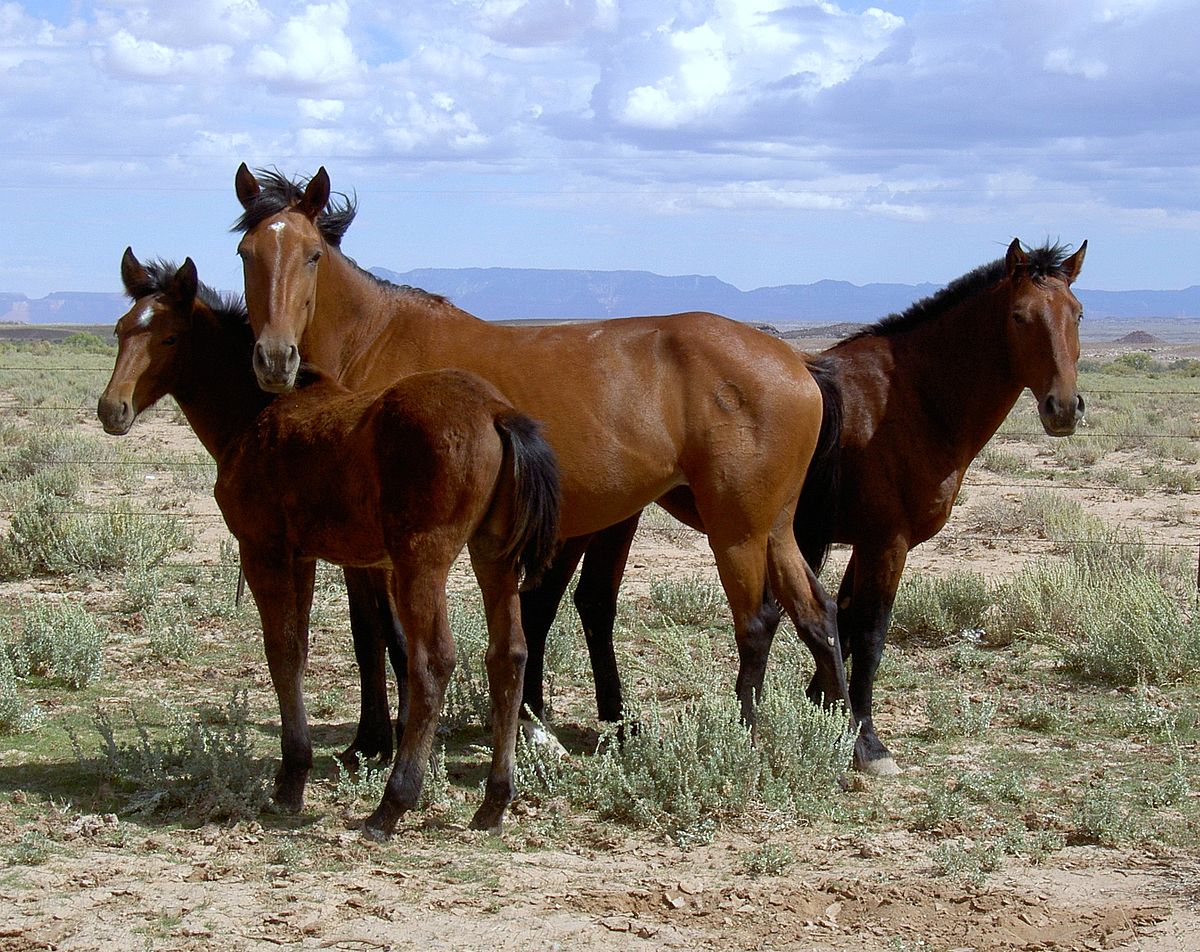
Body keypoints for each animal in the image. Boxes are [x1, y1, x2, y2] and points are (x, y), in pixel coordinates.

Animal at [96, 248, 559, 835]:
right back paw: (494, 804)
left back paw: (392, 804)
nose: (112, 409)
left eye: (170, 338)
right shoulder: (305, 557)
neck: (256, 415)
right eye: (120, 330)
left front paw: (291, 780)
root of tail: (496, 412)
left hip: (422, 560)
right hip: (493, 555)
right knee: (509, 656)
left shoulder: (263, 550)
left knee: (433, 662)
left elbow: (282, 651)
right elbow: (297, 649)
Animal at [231, 159, 854, 763]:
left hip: (736, 529)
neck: (376, 345)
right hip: (773, 525)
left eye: (312, 254)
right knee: (816, 611)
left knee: (756, 622)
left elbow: (385, 637)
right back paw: (855, 740)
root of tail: (798, 362)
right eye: (246, 253)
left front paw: (383, 743)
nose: (274, 359)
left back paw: (748, 738)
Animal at [532, 235, 1089, 773]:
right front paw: (865, 738)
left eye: (1078, 313)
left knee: (591, 602)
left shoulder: (860, 544)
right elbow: (868, 631)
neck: (908, 400)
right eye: (1019, 316)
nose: (1063, 408)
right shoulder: (886, 543)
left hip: (618, 517)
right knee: (548, 602)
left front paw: (826, 706)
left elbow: (839, 620)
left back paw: (614, 725)